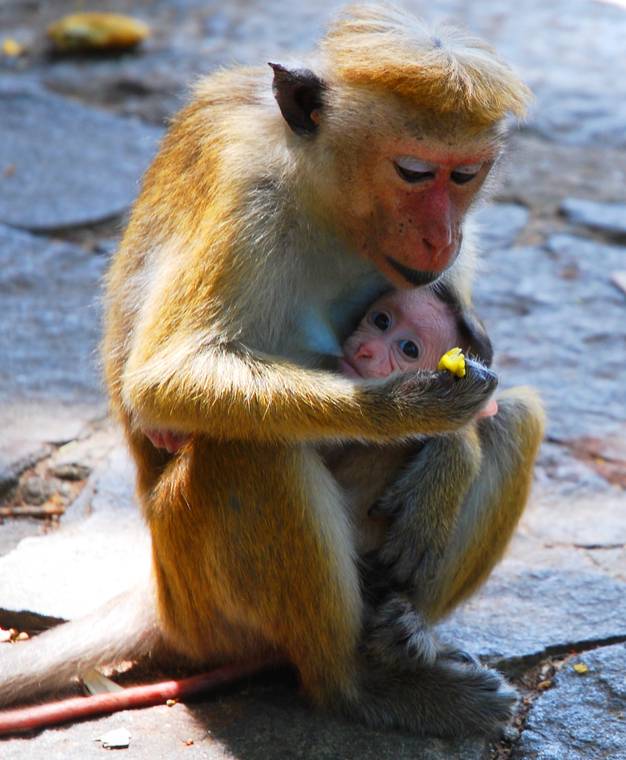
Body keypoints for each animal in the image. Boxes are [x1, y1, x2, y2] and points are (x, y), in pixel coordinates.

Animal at [0, 5, 543, 738]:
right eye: (413, 171)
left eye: (465, 178)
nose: (444, 236)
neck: (325, 201)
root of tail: (161, 600)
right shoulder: (246, 199)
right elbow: (162, 383)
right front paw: (407, 410)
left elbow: (476, 357)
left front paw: (449, 452)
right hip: (205, 608)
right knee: (249, 450)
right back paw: (358, 686)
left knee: (516, 416)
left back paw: (402, 632)